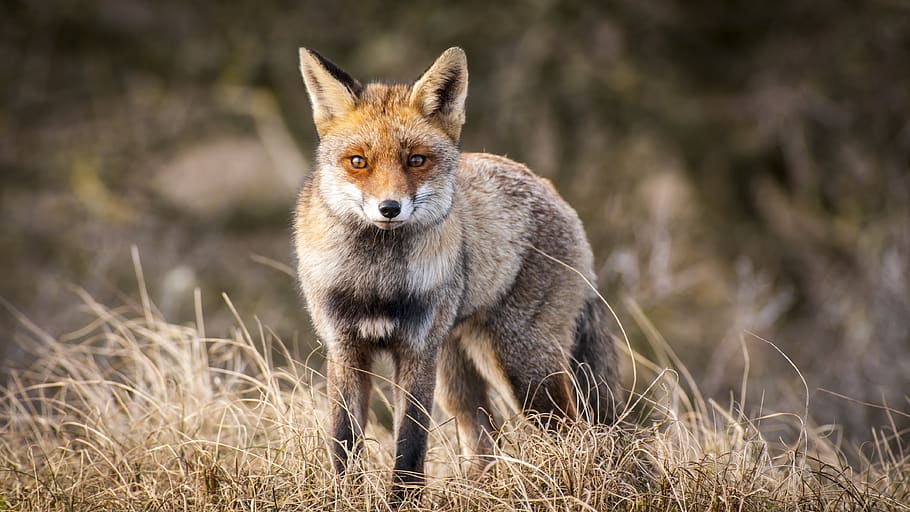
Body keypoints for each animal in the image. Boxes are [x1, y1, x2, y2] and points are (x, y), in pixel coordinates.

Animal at [294, 46, 620, 500]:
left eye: (416, 160)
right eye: (358, 162)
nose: (389, 208)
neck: (376, 282)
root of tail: (551, 190)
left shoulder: (417, 352)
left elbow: (411, 444)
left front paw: (404, 501)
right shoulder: (345, 349)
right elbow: (344, 443)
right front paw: (345, 496)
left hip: (520, 365)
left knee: (571, 432)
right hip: (458, 374)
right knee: (485, 439)